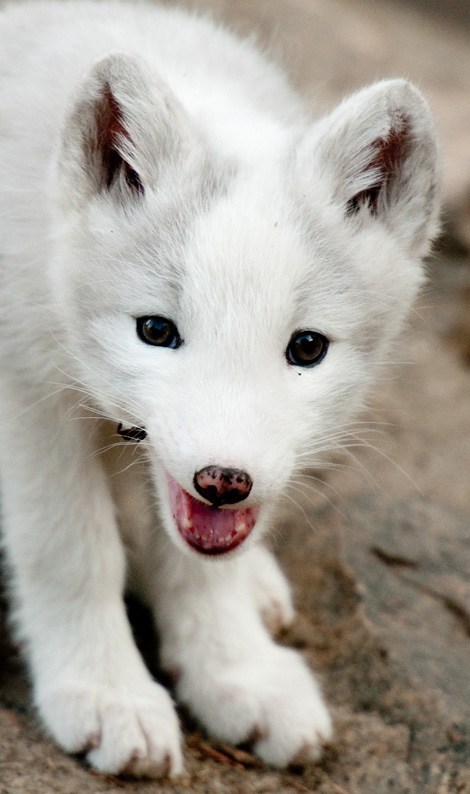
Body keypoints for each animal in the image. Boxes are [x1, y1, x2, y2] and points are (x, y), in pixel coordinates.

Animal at [0, 0, 440, 779]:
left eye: (306, 347)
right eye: (155, 330)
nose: (224, 480)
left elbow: (201, 566)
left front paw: (236, 673)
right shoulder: (28, 391)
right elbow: (70, 548)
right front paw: (106, 693)